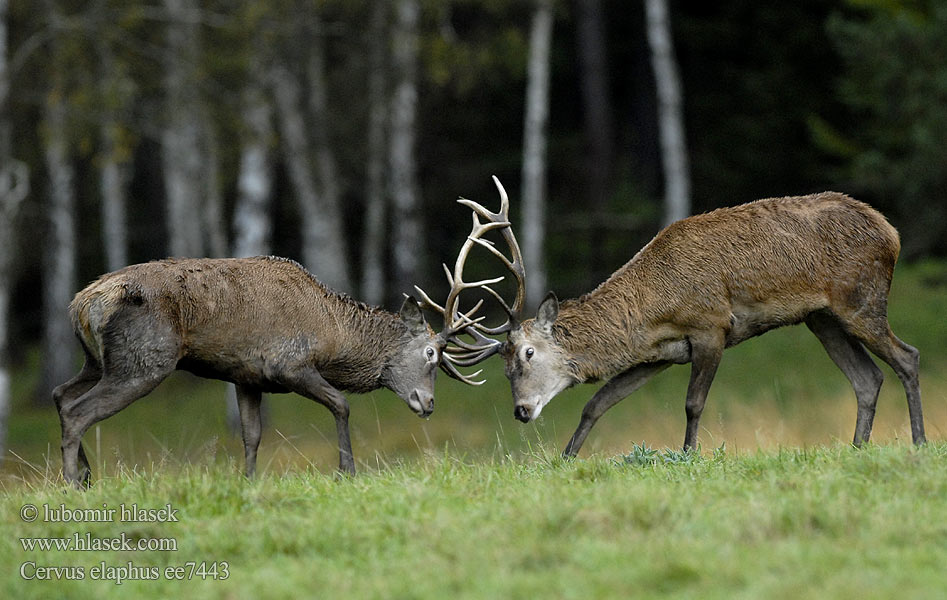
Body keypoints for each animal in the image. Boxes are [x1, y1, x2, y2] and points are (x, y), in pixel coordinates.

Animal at [54, 254, 492, 488]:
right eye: (431, 352)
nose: (428, 403)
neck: (333, 335)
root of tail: (82, 303)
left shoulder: (246, 377)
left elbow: (252, 435)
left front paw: (247, 481)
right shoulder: (289, 364)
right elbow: (341, 404)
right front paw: (346, 471)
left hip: (97, 360)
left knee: (61, 394)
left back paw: (86, 476)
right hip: (143, 360)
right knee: (78, 411)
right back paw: (73, 484)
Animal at [442, 188, 924, 454]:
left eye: (528, 352)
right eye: (503, 367)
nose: (522, 410)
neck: (653, 309)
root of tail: (893, 233)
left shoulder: (711, 326)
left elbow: (693, 403)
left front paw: (689, 456)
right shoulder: (658, 354)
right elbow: (598, 402)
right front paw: (566, 458)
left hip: (860, 299)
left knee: (909, 357)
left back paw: (918, 442)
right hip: (821, 317)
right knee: (867, 378)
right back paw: (857, 448)